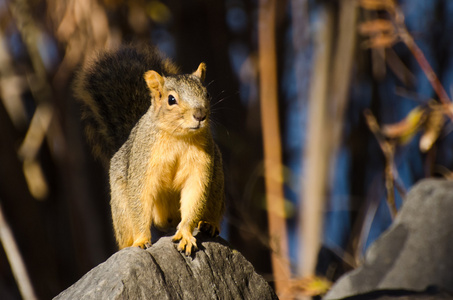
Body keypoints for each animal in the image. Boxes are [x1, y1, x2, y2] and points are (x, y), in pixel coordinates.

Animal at [74, 44, 226, 255]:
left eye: (208, 94)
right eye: (171, 99)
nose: (200, 115)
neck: (178, 137)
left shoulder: (200, 166)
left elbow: (194, 196)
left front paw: (186, 235)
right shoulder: (143, 165)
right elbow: (140, 198)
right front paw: (142, 239)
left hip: (217, 182)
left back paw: (208, 223)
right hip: (121, 206)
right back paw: (130, 244)